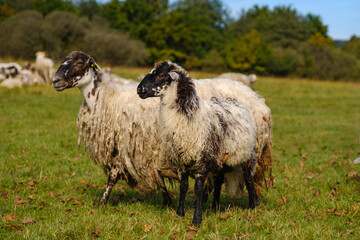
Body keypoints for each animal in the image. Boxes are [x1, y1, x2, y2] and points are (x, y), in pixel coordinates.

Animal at [137, 59, 258, 225]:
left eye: (161, 75)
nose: (139, 89)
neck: (191, 115)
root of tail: (236, 102)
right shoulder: (183, 158)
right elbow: (183, 186)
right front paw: (180, 213)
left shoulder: (203, 157)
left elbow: (198, 188)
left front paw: (196, 219)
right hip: (221, 156)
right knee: (219, 181)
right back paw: (215, 207)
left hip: (245, 155)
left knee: (248, 179)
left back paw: (253, 205)